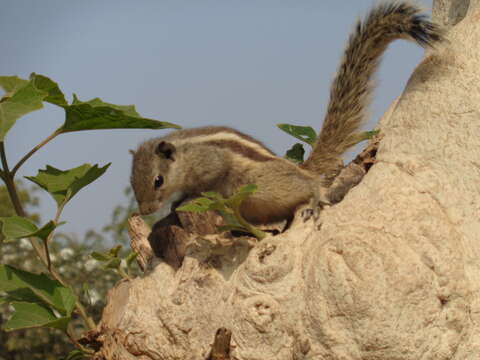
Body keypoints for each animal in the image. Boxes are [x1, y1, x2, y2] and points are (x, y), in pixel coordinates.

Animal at [130, 2, 442, 225]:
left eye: (158, 180)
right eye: (132, 182)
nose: (144, 211)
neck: (185, 154)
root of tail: (299, 168)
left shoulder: (211, 163)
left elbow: (204, 184)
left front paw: (183, 199)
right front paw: (176, 202)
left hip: (263, 187)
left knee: (310, 186)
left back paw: (314, 200)